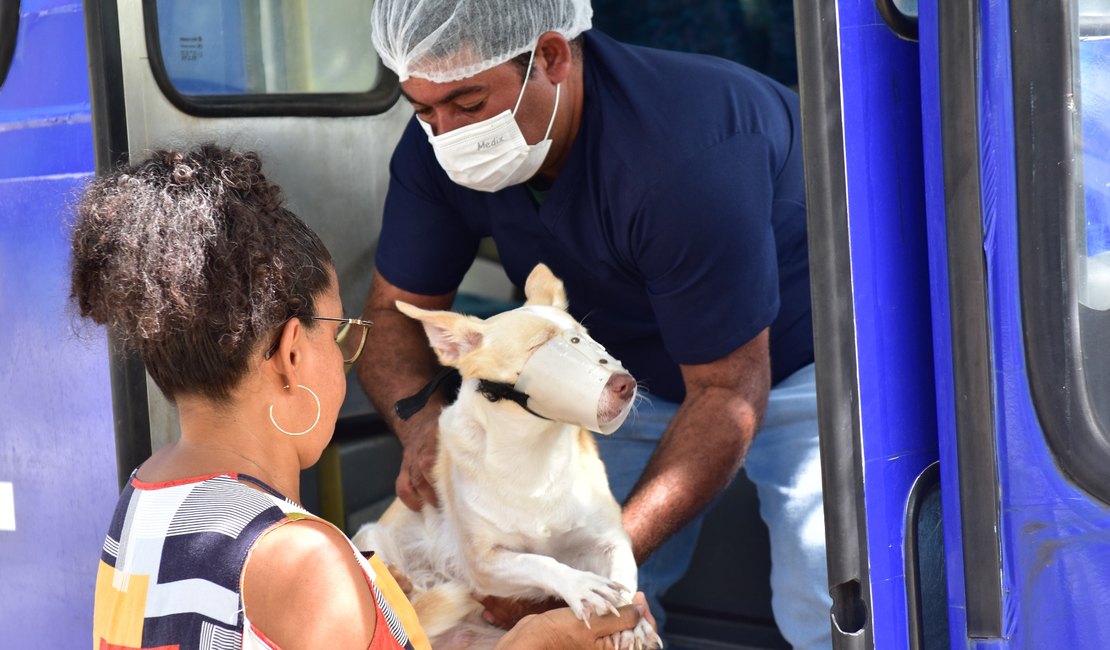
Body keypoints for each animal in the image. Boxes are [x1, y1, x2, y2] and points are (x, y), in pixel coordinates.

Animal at [357, 263, 657, 647]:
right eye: (540, 346)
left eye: (589, 339)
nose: (626, 383)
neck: (534, 458)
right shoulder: (486, 564)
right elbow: (539, 562)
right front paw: (579, 585)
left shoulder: (612, 540)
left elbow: (624, 578)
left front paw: (635, 623)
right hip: (372, 536)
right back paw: (404, 583)